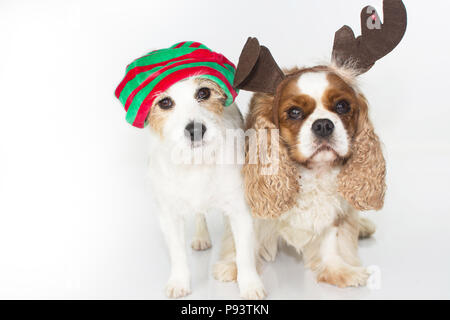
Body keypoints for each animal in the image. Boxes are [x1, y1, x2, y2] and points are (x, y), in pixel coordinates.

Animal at [214, 0, 408, 288]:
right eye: (294, 112)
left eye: (343, 106)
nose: (324, 125)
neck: (312, 172)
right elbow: (242, 240)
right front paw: (233, 267)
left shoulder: (336, 213)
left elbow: (334, 239)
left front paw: (339, 269)